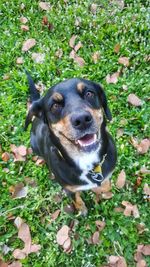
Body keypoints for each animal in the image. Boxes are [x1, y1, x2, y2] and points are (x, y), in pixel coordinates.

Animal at [25, 73, 116, 216]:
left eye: (89, 93)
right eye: (55, 106)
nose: (82, 119)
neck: (86, 161)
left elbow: (106, 185)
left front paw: (102, 191)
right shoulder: (69, 189)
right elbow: (76, 199)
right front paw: (81, 209)